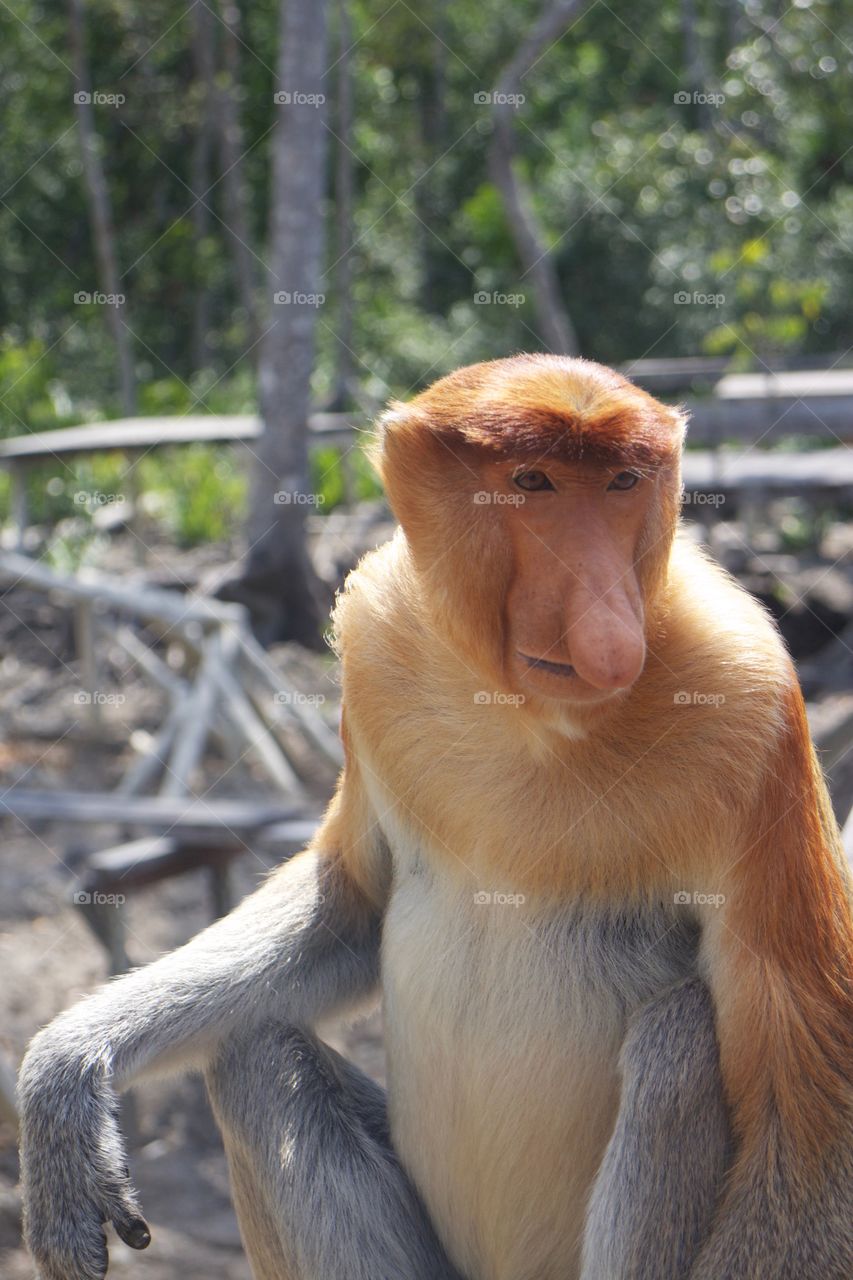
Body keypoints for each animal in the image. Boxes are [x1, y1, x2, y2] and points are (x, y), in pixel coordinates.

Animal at [18, 353, 853, 1280]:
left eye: (623, 484)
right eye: (531, 482)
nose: (610, 630)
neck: (531, 719)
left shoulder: (752, 703)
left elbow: (803, 1126)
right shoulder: (379, 636)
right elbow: (349, 907)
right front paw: (66, 1072)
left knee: (681, 1043)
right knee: (251, 1053)